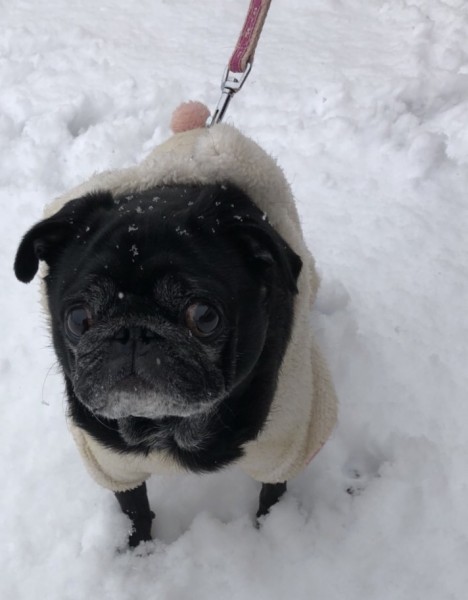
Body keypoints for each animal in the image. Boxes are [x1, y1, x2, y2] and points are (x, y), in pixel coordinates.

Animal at [14, 185, 302, 548]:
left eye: (204, 316)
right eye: (78, 319)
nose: (134, 332)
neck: (166, 426)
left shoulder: (284, 449)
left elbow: (273, 493)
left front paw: (271, 529)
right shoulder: (113, 464)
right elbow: (133, 507)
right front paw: (139, 547)